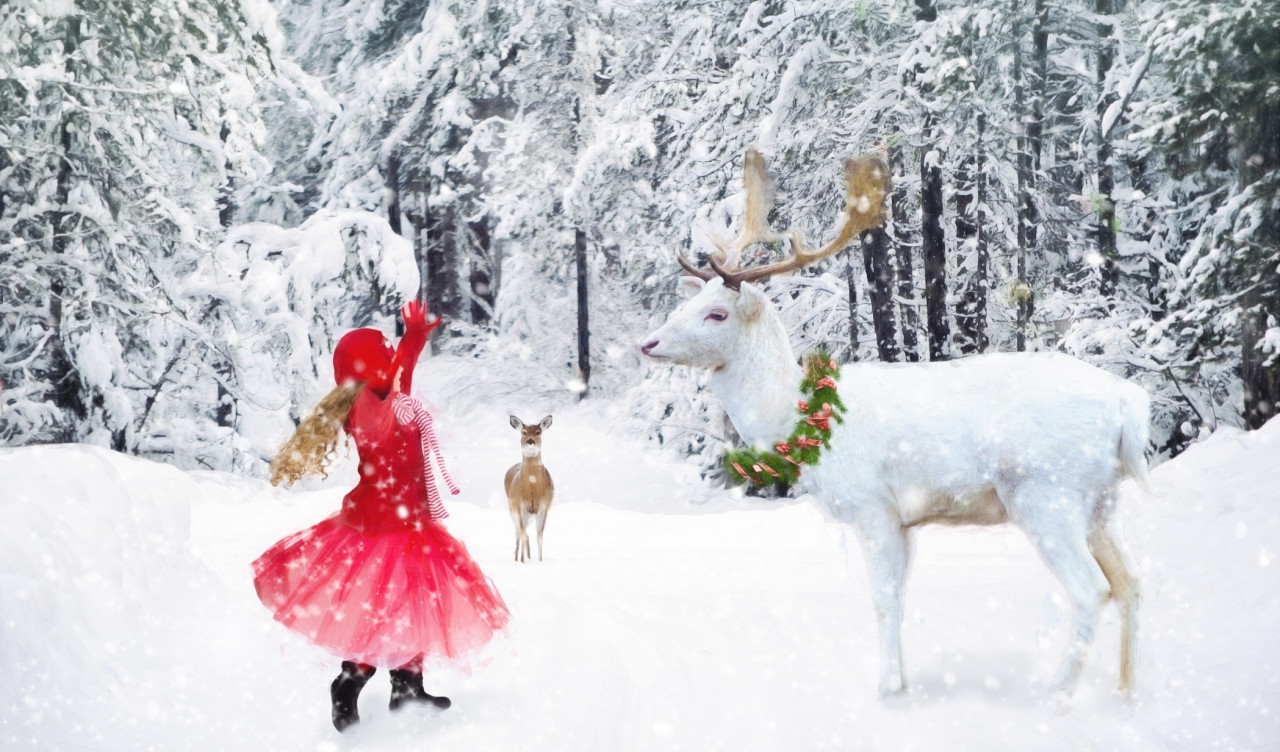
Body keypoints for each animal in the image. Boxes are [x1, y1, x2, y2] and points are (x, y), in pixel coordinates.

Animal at [504, 414, 555, 560]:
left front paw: (540, 560)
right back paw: (517, 558)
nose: (530, 441)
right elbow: (523, 534)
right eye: (524, 432)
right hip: (512, 509)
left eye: (538, 432)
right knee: (519, 532)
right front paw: (522, 561)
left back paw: (528, 556)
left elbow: (539, 535)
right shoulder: (520, 505)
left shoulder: (544, 505)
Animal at [640, 147, 1152, 700]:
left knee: (1091, 589)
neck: (796, 416)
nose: (648, 343)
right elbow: (901, 598)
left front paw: (887, 688)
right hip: (1102, 500)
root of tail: (1127, 402)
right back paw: (1127, 693)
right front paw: (901, 681)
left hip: (1045, 491)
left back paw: (1055, 694)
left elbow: (883, 598)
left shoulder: (872, 506)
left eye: (716, 314)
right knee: (1131, 582)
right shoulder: (905, 520)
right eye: (686, 302)